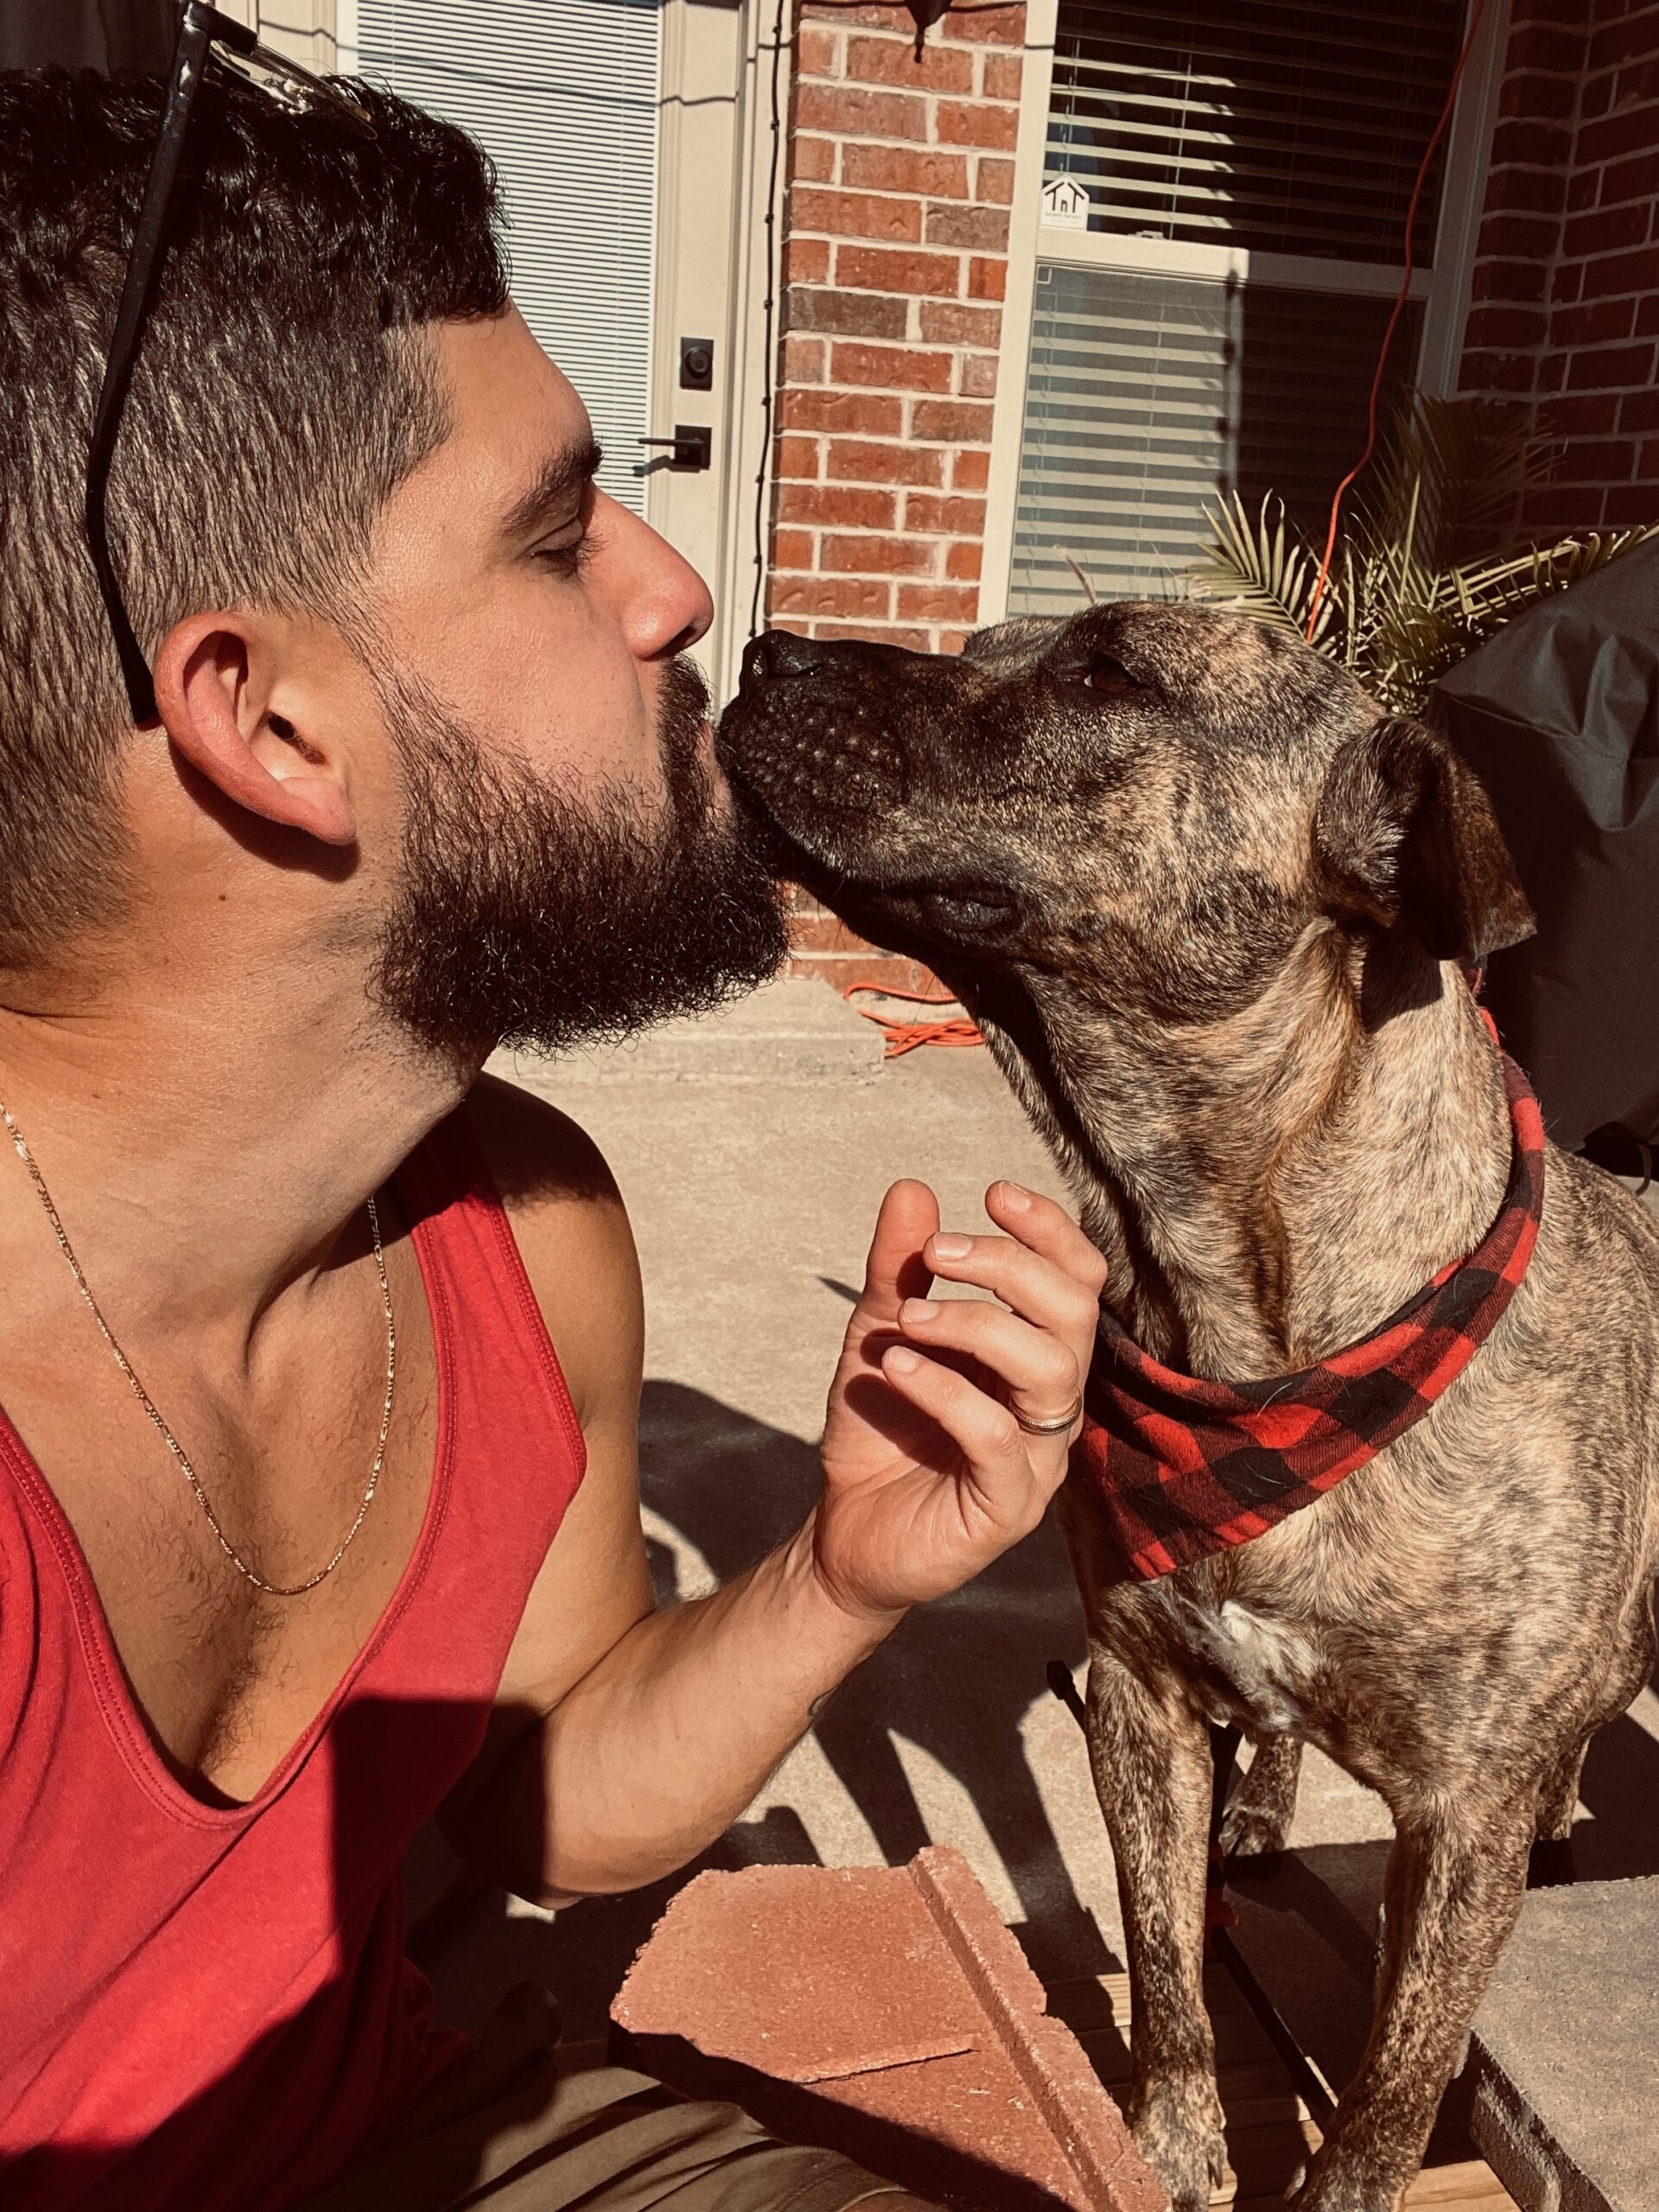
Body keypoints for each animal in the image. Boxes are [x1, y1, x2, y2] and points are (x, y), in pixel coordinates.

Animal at [721, 606, 1659, 2212]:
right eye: (991, 640)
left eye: (1107, 672)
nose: (764, 651)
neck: (1259, 1341)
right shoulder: (1139, 1698)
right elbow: (1166, 1974)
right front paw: (1166, 2150)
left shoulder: (1462, 1830)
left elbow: (1391, 2099)